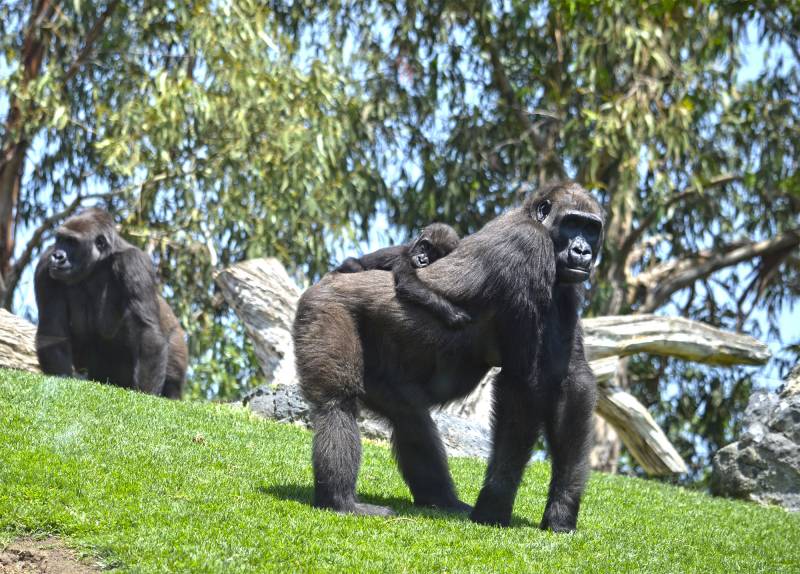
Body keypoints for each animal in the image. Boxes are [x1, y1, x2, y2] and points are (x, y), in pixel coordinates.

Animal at [33, 208, 188, 400]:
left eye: (72, 242)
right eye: (60, 239)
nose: (57, 256)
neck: (98, 263)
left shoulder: (133, 262)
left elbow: (146, 329)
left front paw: (145, 395)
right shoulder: (44, 264)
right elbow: (52, 331)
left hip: (177, 339)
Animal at [336, 224, 472, 328]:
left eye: (435, 254)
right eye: (425, 246)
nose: (422, 259)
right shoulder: (402, 258)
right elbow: (408, 283)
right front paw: (451, 312)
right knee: (353, 265)